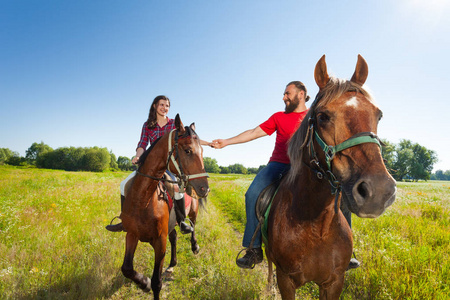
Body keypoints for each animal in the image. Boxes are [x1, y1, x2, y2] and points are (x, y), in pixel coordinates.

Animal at [120, 114, 210, 298]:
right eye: (188, 150)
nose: (205, 188)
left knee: (192, 226)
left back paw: (194, 246)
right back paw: (172, 264)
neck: (143, 199)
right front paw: (144, 283)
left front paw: (148, 283)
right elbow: (126, 268)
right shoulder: (131, 234)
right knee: (174, 237)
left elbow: (157, 282)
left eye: (202, 151)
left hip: (193, 212)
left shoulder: (159, 242)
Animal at [264, 55, 398, 298]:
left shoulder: (334, 282)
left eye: (379, 115)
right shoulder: (285, 280)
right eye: (323, 116)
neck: (314, 223)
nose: (379, 192)